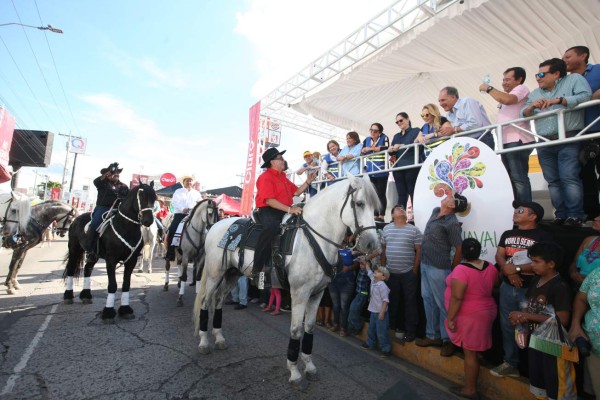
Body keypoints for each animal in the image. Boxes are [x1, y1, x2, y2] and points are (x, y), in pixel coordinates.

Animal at [63, 183, 156, 320]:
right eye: (141, 196)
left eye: (154, 198)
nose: (148, 221)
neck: (126, 227)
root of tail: (77, 218)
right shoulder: (111, 260)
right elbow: (112, 285)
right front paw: (108, 311)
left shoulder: (131, 261)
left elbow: (126, 284)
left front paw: (125, 309)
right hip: (74, 249)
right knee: (70, 269)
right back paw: (68, 296)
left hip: (94, 255)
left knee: (87, 269)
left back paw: (86, 295)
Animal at [193, 174, 380, 388]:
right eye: (359, 203)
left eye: (375, 208)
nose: (371, 244)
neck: (313, 240)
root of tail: (216, 226)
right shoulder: (299, 293)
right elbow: (296, 330)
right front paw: (295, 371)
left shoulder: (317, 293)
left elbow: (309, 328)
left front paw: (309, 366)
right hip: (215, 273)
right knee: (206, 301)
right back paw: (204, 342)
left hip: (232, 274)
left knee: (217, 301)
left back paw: (219, 338)